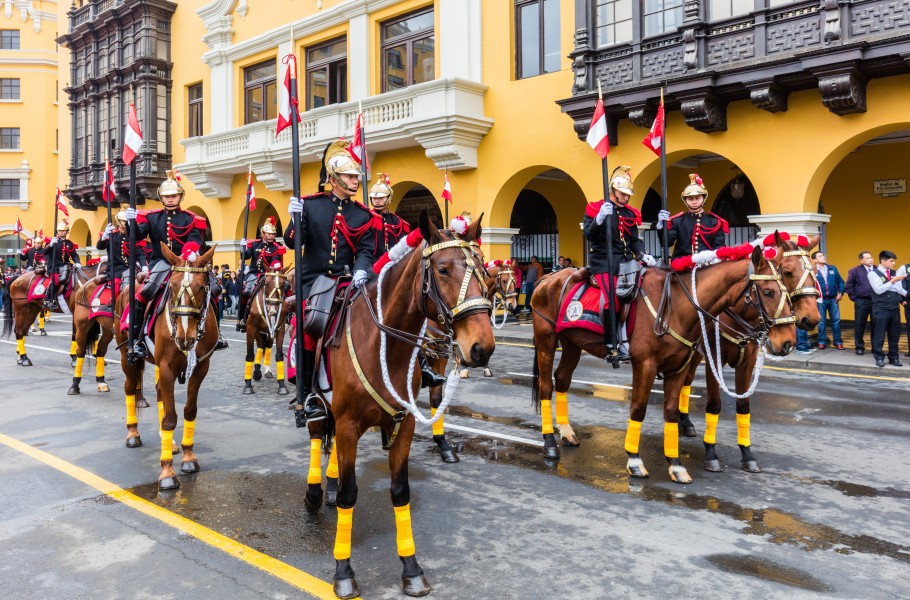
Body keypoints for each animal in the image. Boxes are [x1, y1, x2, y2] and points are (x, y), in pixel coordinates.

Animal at [116, 244, 219, 492]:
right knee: (130, 388)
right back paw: (133, 433)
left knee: (159, 393)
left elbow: (189, 410)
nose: (184, 338)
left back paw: (168, 442)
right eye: (171, 287)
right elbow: (170, 418)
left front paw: (188, 457)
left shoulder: (201, 368)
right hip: (127, 358)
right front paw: (167, 472)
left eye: (201, 287)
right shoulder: (166, 368)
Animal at [242, 266, 292, 394]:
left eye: (284, 284)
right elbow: (250, 354)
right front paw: (248, 385)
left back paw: (265, 371)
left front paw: (281, 384)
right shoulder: (251, 328)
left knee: (266, 345)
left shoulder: (279, 329)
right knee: (260, 345)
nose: (273, 310)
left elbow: (279, 355)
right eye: (266, 283)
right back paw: (256, 372)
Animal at [302, 212, 496, 600]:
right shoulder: (348, 424)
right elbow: (349, 495)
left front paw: (411, 567)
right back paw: (316, 491)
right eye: (443, 269)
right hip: (321, 404)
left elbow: (400, 491)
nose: (482, 346)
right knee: (317, 432)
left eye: (482, 267)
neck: (385, 343)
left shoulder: (403, 423)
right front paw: (343, 571)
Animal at [532, 243, 796, 482]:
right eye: (768, 292)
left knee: (562, 380)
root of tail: (548, 277)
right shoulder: (646, 365)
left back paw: (567, 432)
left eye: (787, 290)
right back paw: (550, 443)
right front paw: (634, 460)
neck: (678, 305)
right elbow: (638, 408)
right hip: (546, 341)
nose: (789, 342)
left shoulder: (678, 367)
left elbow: (671, 411)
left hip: (572, 344)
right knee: (546, 387)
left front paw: (676, 464)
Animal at [676, 234, 828, 474]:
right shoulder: (714, 361)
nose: (811, 319)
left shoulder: (747, 362)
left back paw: (685, 423)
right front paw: (711, 452)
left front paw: (747, 453)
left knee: (685, 382)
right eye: (787, 271)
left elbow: (743, 406)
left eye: (813, 269)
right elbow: (714, 405)